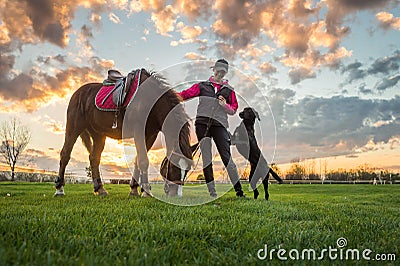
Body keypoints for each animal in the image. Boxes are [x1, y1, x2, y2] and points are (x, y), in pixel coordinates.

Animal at [55, 68, 193, 197]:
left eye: (187, 170)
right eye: (174, 166)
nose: (176, 194)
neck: (150, 100)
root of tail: (78, 93)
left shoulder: (150, 136)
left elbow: (138, 161)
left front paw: (134, 189)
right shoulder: (138, 131)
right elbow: (143, 161)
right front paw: (146, 191)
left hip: (98, 134)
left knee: (94, 158)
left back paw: (100, 189)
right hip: (74, 128)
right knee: (65, 154)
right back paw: (59, 189)